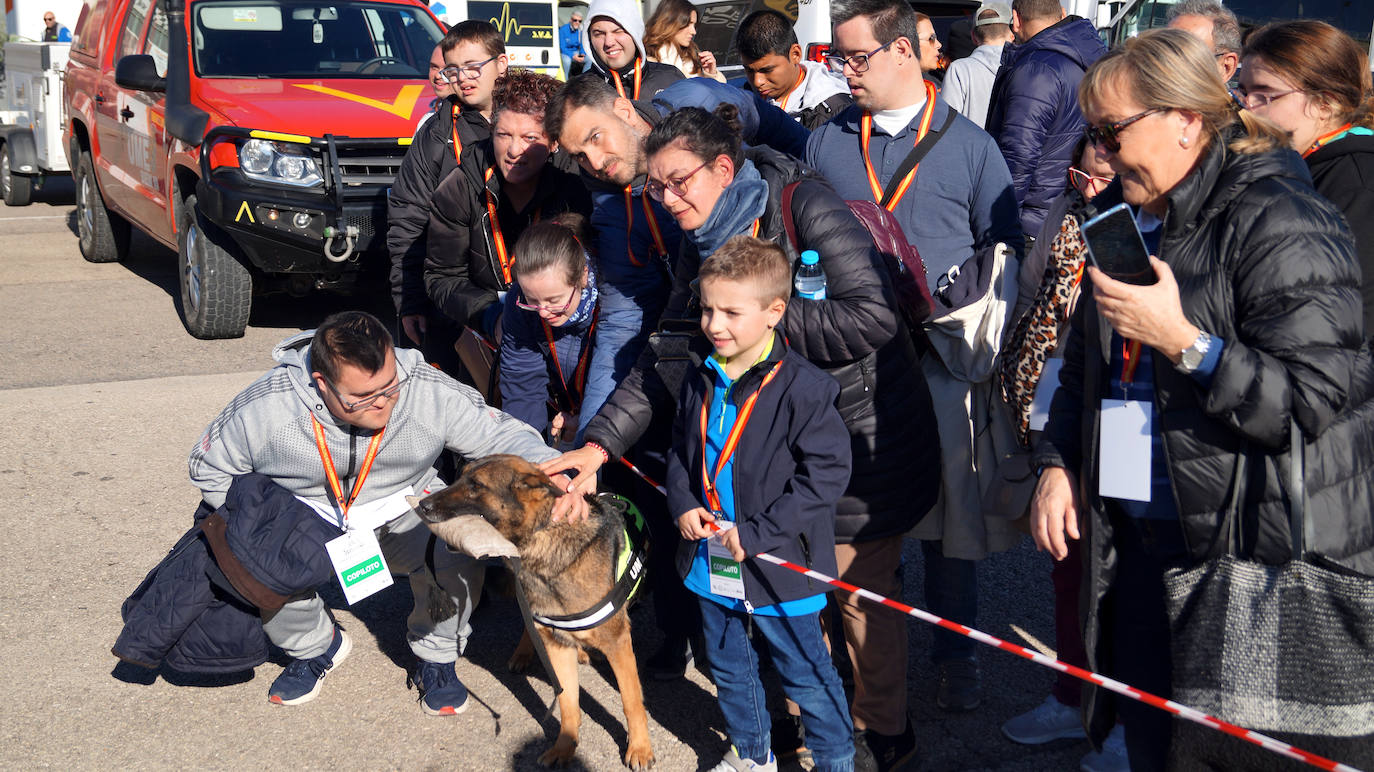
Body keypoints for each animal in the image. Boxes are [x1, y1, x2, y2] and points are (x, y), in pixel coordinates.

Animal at [412, 453, 654, 763]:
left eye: (476, 485)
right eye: (459, 475)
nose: (422, 506)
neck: (543, 539)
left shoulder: (618, 642)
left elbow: (631, 701)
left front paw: (640, 748)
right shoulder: (556, 646)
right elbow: (567, 702)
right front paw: (565, 746)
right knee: (532, 624)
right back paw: (525, 652)